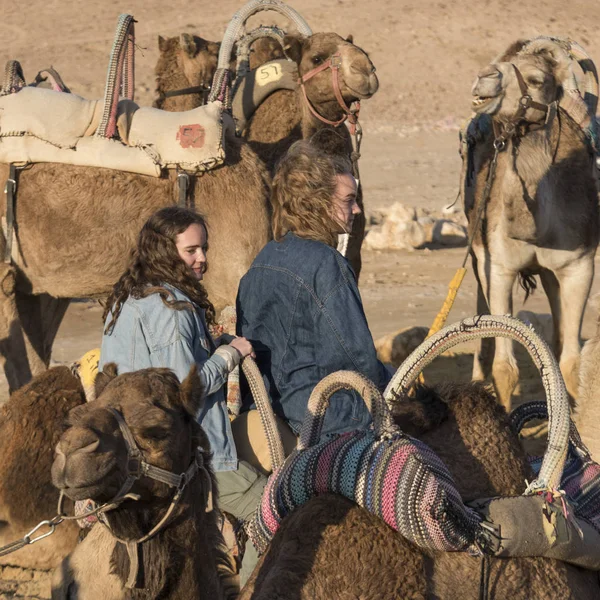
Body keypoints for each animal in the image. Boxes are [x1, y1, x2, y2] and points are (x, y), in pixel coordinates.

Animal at [464, 37, 600, 410]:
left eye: (537, 80)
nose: (484, 77)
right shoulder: (498, 269)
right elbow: (505, 367)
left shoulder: (579, 266)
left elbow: (570, 363)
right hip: (478, 256)